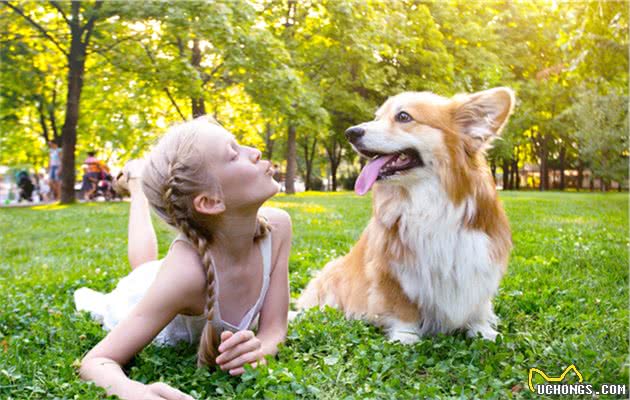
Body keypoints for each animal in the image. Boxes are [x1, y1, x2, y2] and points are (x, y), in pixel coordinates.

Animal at [298, 88, 516, 344]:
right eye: (376, 117)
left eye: (403, 117)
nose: (350, 133)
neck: (427, 203)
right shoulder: (391, 271)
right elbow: (402, 308)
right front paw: (405, 337)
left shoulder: (479, 260)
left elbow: (478, 304)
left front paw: (483, 331)